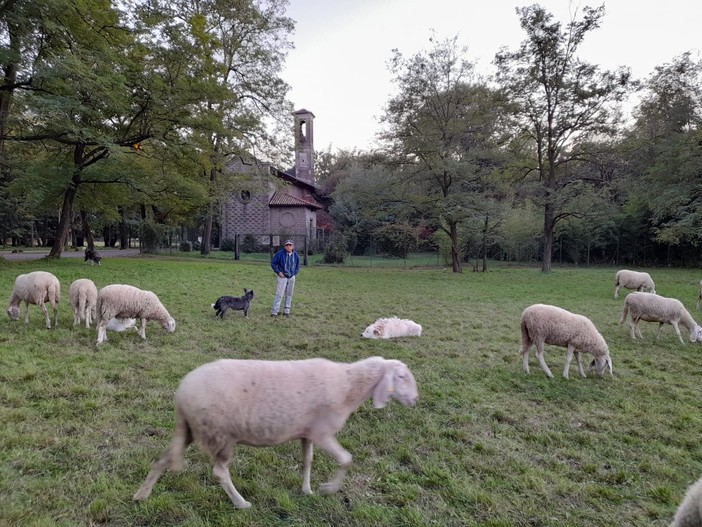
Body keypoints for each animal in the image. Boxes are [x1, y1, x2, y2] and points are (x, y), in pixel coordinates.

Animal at [132, 356, 418, 510]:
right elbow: (346, 459)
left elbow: (307, 461)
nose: (416, 400)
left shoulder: (307, 432)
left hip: (191, 429)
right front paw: (328, 488)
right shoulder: (323, 432)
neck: (349, 385)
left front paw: (307, 490)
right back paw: (241, 503)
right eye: (401, 377)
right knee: (219, 472)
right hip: (221, 434)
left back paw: (141, 495)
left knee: (163, 459)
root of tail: (181, 393)